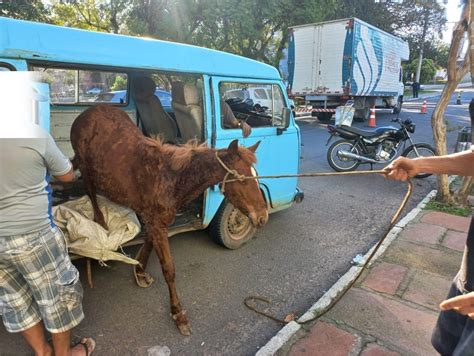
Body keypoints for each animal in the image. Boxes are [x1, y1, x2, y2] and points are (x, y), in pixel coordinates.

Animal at [71, 104, 270, 336]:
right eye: (242, 179)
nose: (262, 217)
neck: (171, 179)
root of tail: (87, 112)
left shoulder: (155, 220)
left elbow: (148, 242)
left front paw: (140, 272)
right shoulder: (158, 224)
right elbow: (169, 269)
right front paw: (178, 314)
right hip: (86, 168)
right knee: (91, 193)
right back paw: (100, 220)